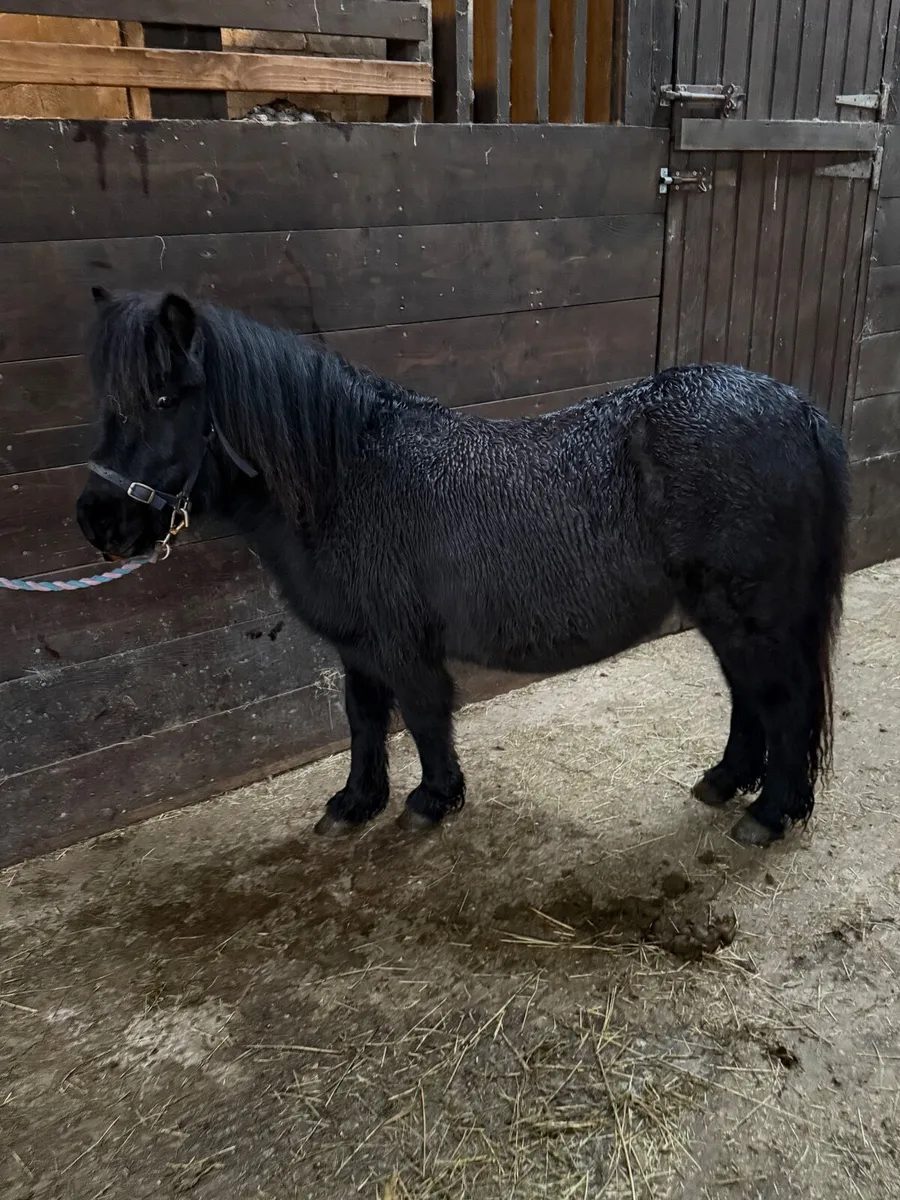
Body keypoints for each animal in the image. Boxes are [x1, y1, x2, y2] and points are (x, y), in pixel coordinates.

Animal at [77, 287, 851, 848]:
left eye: (163, 398)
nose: (96, 523)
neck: (348, 479)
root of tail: (797, 407)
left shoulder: (400, 643)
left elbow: (423, 715)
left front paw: (431, 799)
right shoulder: (359, 645)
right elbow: (363, 718)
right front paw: (354, 804)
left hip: (750, 615)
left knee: (783, 702)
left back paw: (769, 814)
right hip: (729, 616)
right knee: (751, 698)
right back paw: (726, 782)